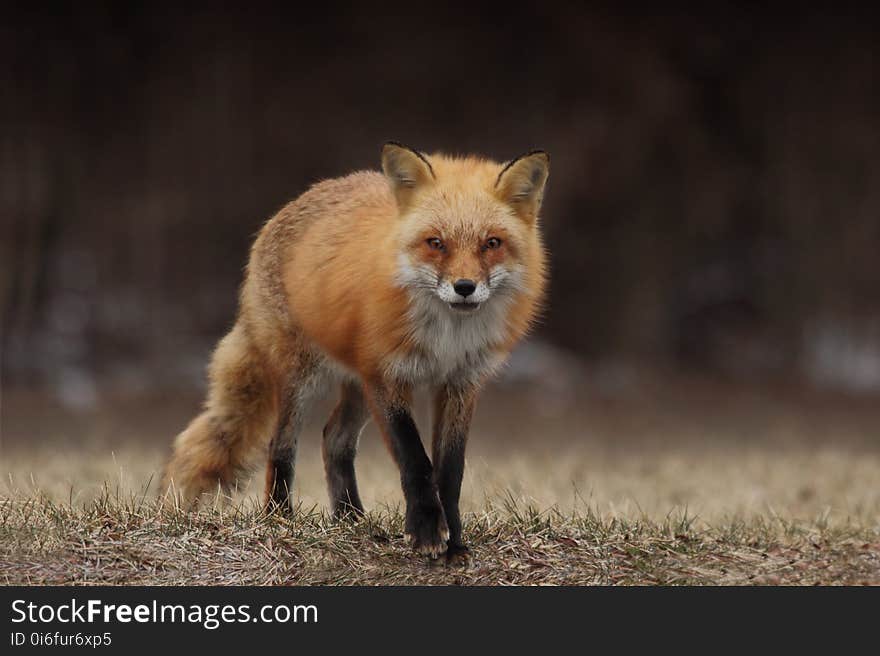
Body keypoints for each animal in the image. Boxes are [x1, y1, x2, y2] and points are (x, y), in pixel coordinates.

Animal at [165, 142, 552, 560]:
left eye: (491, 243)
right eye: (435, 243)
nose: (464, 287)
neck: (447, 338)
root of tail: (287, 208)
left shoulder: (460, 383)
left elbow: (450, 470)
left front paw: (455, 541)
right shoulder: (387, 376)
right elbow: (416, 460)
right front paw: (426, 531)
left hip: (358, 386)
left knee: (333, 439)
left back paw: (350, 518)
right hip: (305, 378)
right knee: (280, 445)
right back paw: (280, 516)